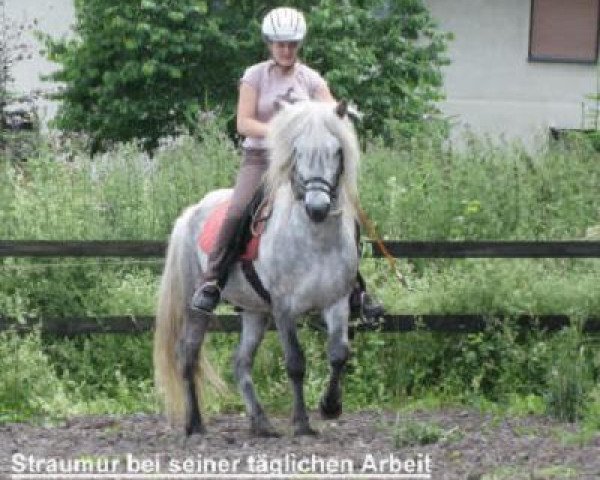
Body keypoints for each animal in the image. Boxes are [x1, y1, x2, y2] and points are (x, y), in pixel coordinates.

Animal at [155, 99, 360, 436]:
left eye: (336, 151)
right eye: (297, 151)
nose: (317, 209)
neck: (315, 239)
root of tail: (190, 213)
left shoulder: (337, 302)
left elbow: (339, 354)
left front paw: (330, 406)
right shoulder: (283, 307)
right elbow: (295, 363)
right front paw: (301, 423)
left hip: (254, 312)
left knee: (240, 362)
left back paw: (261, 423)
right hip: (194, 304)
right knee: (188, 353)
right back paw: (195, 424)